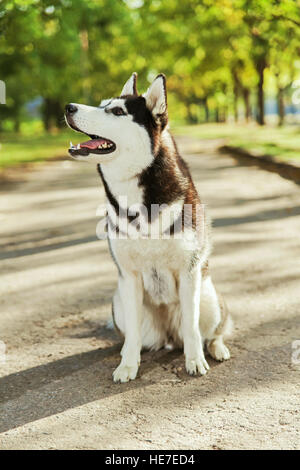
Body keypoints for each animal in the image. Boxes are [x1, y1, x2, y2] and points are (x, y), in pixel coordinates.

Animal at [64, 72, 231, 382]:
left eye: (117, 111)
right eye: (101, 104)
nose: (69, 107)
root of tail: (169, 337)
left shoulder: (189, 272)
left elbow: (192, 328)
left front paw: (195, 361)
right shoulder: (129, 277)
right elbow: (132, 336)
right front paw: (128, 365)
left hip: (210, 298)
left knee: (210, 331)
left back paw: (216, 348)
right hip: (119, 304)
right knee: (138, 336)